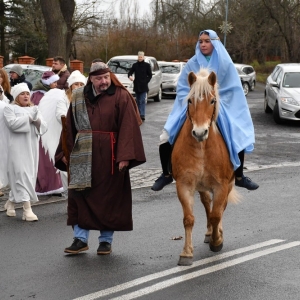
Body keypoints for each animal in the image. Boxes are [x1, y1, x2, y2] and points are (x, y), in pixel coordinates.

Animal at [171, 69, 239, 266]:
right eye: (189, 100)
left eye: (212, 100)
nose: (200, 133)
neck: (202, 148)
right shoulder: (184, 185)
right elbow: (189, 219)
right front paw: (186, 252)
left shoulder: (221, 186)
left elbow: (217, 214)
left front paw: (217, 241)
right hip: (201, 187)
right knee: (207, 203)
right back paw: (209, 232)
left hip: (228, 184)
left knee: (220, 208)